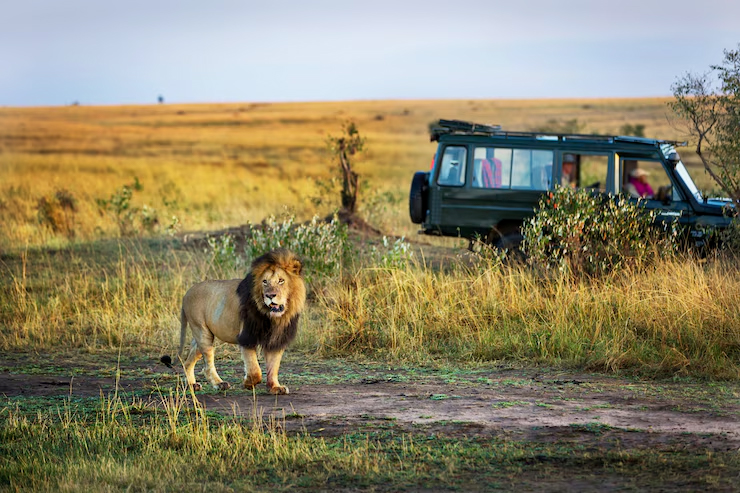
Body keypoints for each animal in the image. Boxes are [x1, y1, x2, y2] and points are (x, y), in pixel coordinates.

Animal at [178, 248, 304, 394]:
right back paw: (220, 384)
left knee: (188, 361)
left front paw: (275, 387)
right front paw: (248, 383)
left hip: (200, 336)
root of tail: (186, 293)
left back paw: (192, 385)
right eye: (265, 281)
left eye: (281, 280)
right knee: (207, 365)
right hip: (202, 331)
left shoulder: (277, 339)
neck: (274, 318)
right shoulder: (246, 336)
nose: (270, 296)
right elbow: (255, 370)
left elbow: (273, 366)